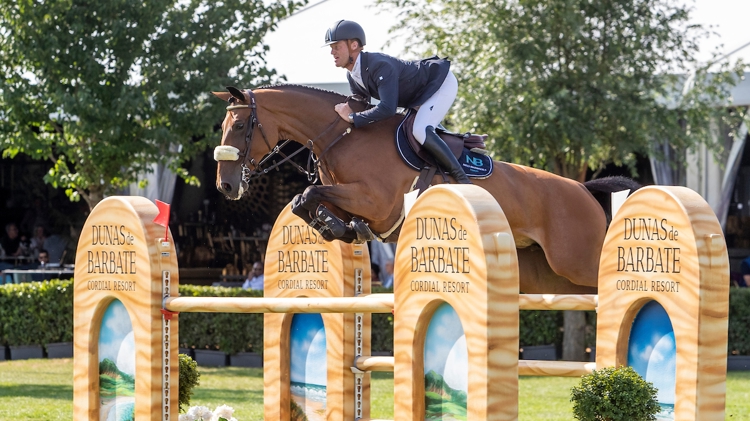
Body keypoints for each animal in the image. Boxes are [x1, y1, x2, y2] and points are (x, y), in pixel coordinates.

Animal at [213, 85, 640, 294]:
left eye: (240, 126)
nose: (226, 185)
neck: (343, 136)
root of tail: (582, 188)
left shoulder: (377, 203)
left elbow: (308, 196)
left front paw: (335, 225)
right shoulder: (355, 200)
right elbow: (307, 201)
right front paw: (337, 228)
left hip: (575, 261)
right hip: (550, 275)